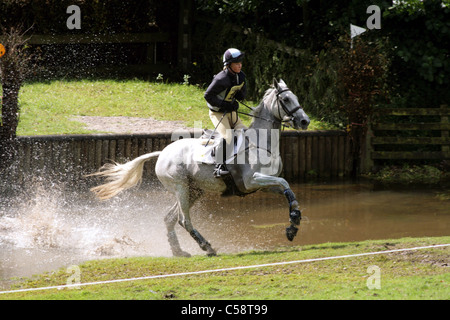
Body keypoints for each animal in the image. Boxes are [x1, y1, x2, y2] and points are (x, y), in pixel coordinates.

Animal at [90, 80, 312, 258]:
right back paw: (207, 247)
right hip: (181, 187)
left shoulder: (264, 184)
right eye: (286, 99)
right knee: (183, 220)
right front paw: (294, 222)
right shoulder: (252, 181)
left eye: (295, 97)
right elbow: (285, 182)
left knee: (169, 218)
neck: (262, 143)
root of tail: (162, 153)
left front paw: (293, 225)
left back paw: (179, 252)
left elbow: (288, 189)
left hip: (194, 190)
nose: (305, 121)